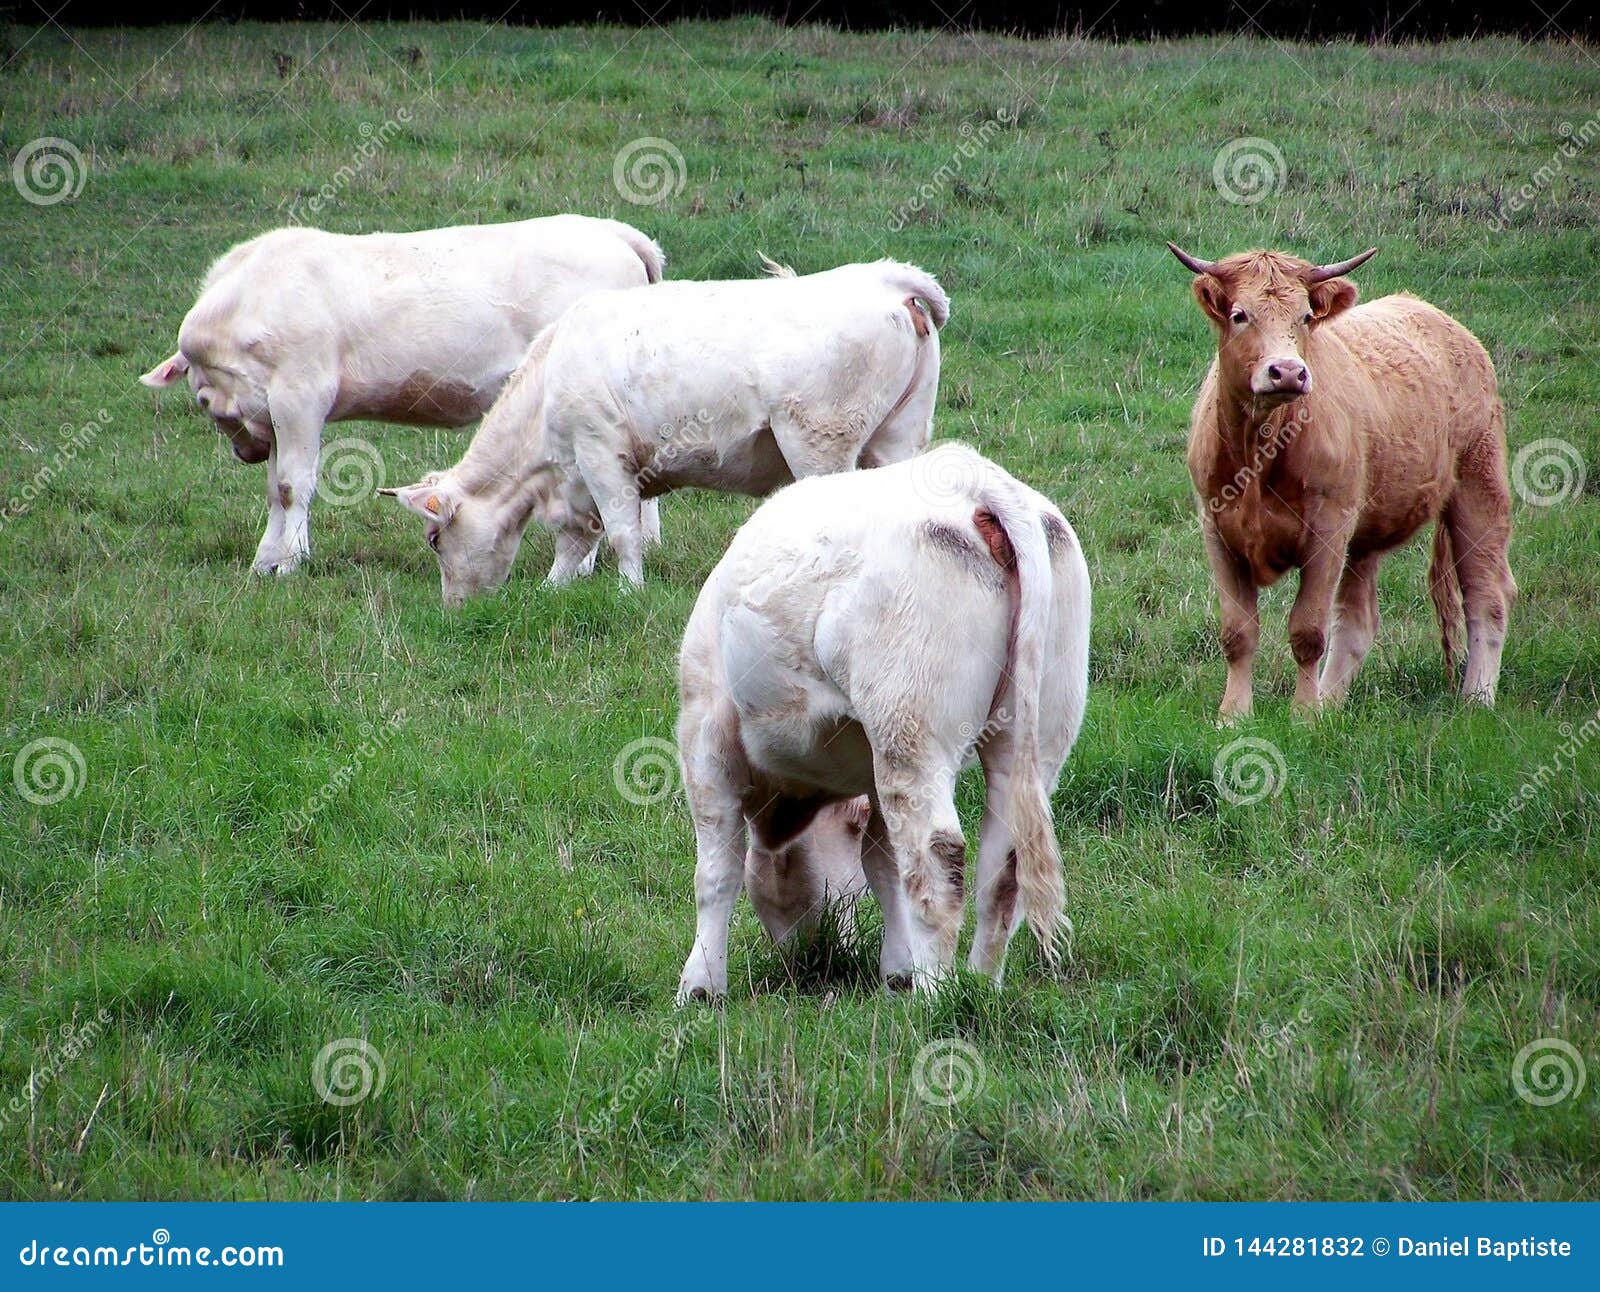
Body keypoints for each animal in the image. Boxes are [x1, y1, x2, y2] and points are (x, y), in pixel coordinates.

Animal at [139, 215, 662, 575]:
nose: (245, 452)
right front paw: (266, 560)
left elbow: (292, 486)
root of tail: (612, 231)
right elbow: (274, 491)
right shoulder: (274, 414)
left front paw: (289, 562)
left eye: (202, 402)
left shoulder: (300, 395)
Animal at [379, 263, 940, 610]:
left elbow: (622, 532)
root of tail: (883, 277)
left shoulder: (600, 453)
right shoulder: (577, 475)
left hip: (819, 443)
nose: (454, 607)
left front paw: (630, 592)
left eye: (434, 539)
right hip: (898, 438)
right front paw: (551, 590)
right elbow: (575, 540)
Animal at [668, 444, 1094, 997]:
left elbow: (717, 870)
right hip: (1033, 739)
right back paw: (980, 987)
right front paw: (897, 972)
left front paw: (699, 986)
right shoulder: (871, 769)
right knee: (1003, 866)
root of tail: (979, 482)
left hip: (912, 735)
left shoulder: (705, 737)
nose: (812, 957)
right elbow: (884, 865)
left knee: (937, 859)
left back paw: (936, 997)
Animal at [1164, 244, 1510, 716]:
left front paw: (1304, 715)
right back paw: (1331, 702)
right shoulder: (1218, 531)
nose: (1287, 371)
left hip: (1479, 490)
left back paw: (1477, 698)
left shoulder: (1327, 532)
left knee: (1485, 597)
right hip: (1366, 533)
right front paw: (1234, 715)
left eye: (1306, 316)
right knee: (1358, 620)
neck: (1261, 451)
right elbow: (1238, 633)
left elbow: (1308, 631)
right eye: (1239, 315)